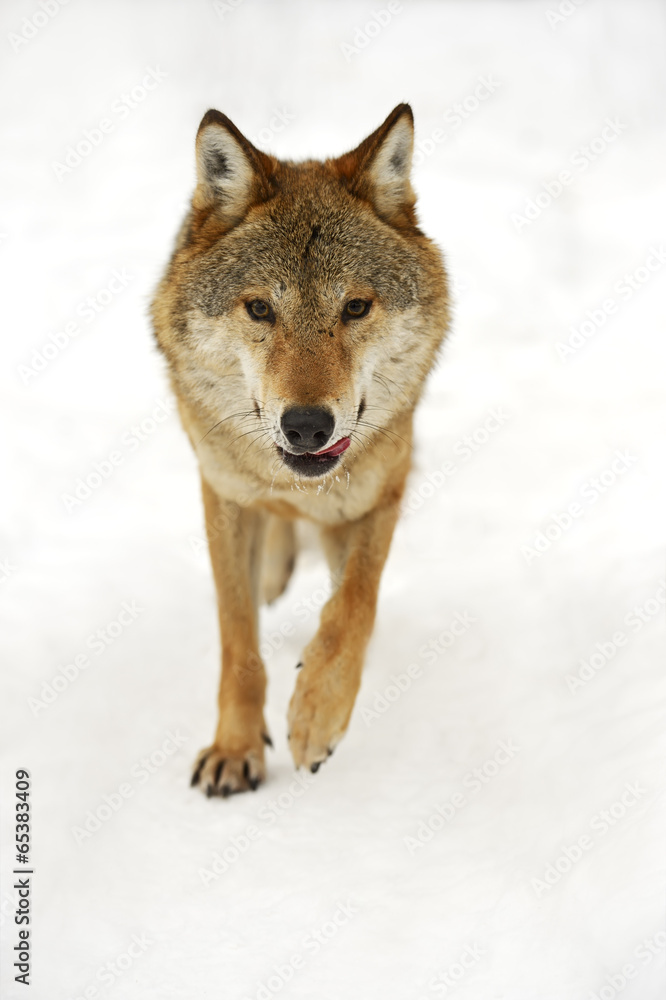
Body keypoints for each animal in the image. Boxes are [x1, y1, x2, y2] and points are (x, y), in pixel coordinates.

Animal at [151, 103, 449, 796]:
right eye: (260, 309)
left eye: (356, 307)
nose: (308, 426)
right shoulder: (224, 496)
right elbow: (238, 639)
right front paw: (234, 750)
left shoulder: (382, 490)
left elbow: (353, 609)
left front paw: (316, 714)